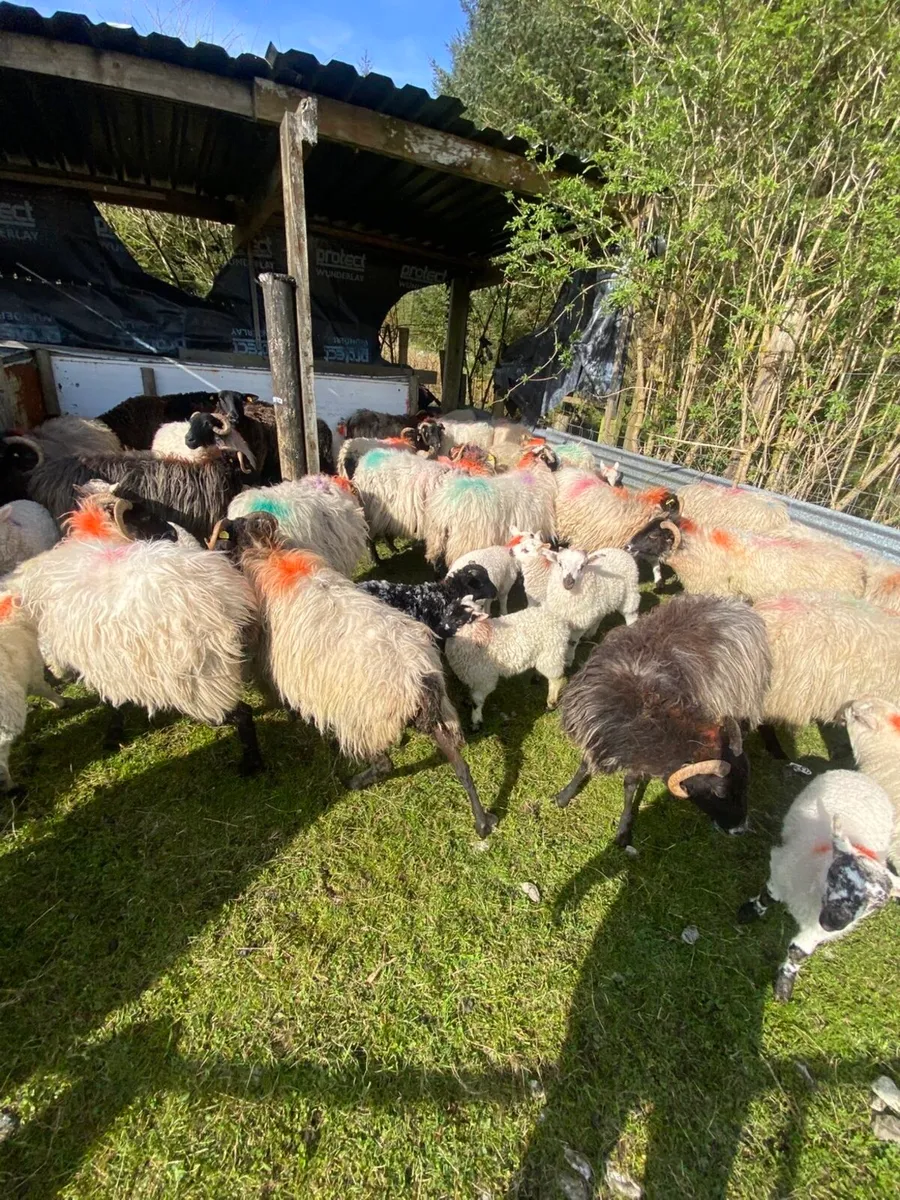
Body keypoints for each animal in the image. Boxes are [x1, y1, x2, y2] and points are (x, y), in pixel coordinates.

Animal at [9, 494, 262, 773]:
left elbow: (112, 704)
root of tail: (228, 602)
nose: (173, 532)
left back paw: (252, 764)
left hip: (204, 681)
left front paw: (113, 735)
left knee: (242, 714)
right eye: (145, 516)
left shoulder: (100, 662)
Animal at [553, 594, 771, 847]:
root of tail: (736, 604)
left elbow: (629, 785)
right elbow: (583, 766)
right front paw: (564, 795)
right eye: (719, 792)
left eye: (746, 784)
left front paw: (624, 829)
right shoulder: (596, 733)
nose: (739, 830)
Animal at [738, 772, 898, 1001]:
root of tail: (864, 777)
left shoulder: (817, 930)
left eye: (877, 905)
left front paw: (784, 984)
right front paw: (752, 910)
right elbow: (768, 896)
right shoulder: (780, 872)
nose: (835, 921)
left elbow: (798, 952)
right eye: (838, 873)